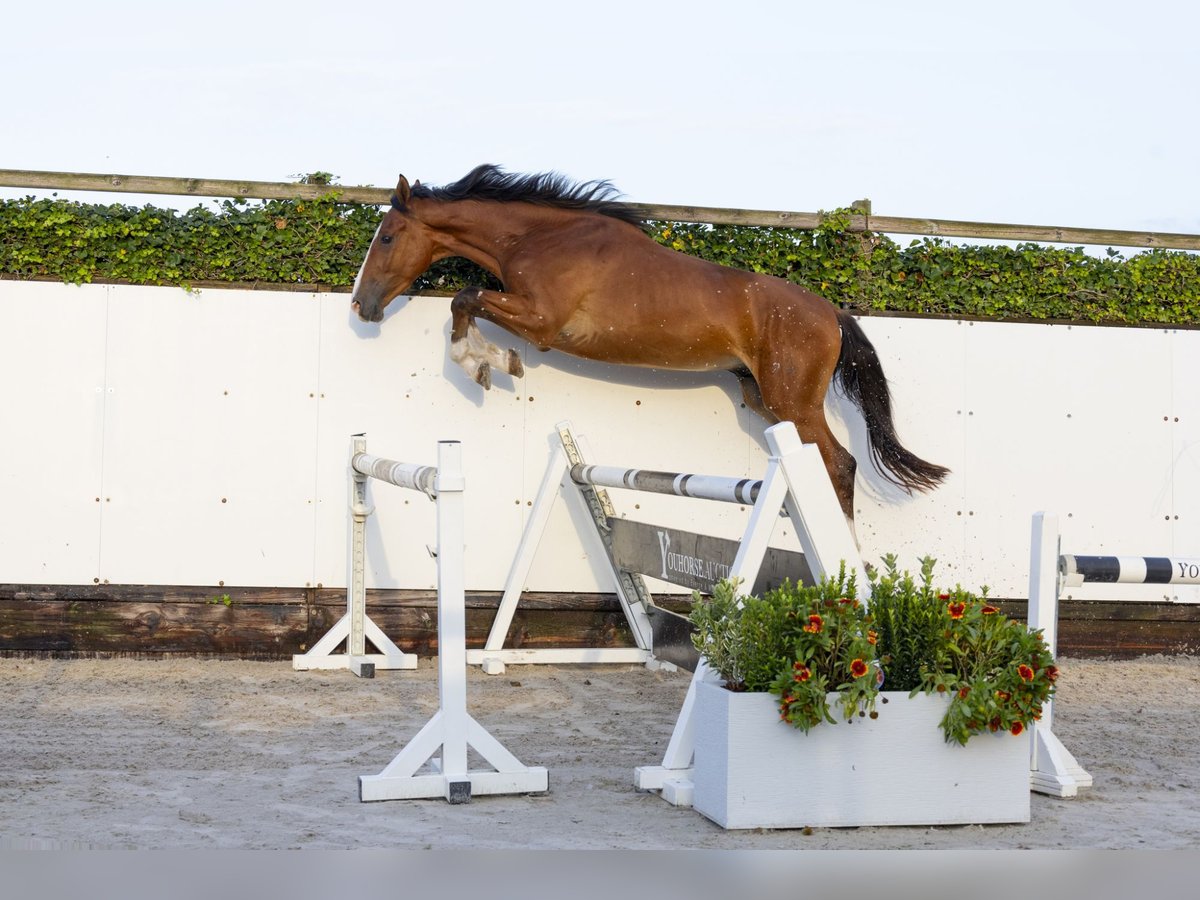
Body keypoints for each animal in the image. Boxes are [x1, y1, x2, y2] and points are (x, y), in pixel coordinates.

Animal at [350, 165, 950, 525]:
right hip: (761, 396)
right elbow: (467, 302)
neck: (542, 237)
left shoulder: (542, 323)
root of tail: (832, 313)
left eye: (387, 237)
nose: (361, 304)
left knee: (840, 464)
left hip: (794, 401)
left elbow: (465, 300)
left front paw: (486, 362)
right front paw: (488, 362)